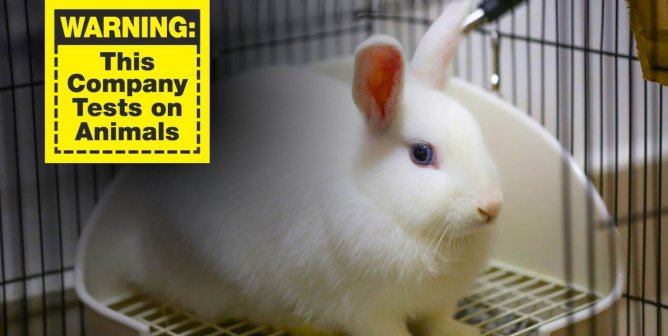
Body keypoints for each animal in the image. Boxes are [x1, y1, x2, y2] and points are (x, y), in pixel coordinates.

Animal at [109, 1, 500, 334]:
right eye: (421, 154)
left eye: (476, 131)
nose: (491, 207)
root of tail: (139, 254)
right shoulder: (365, 309)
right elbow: (388, 330)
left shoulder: (438, 303)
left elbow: (439, 322)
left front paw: (465, 332)